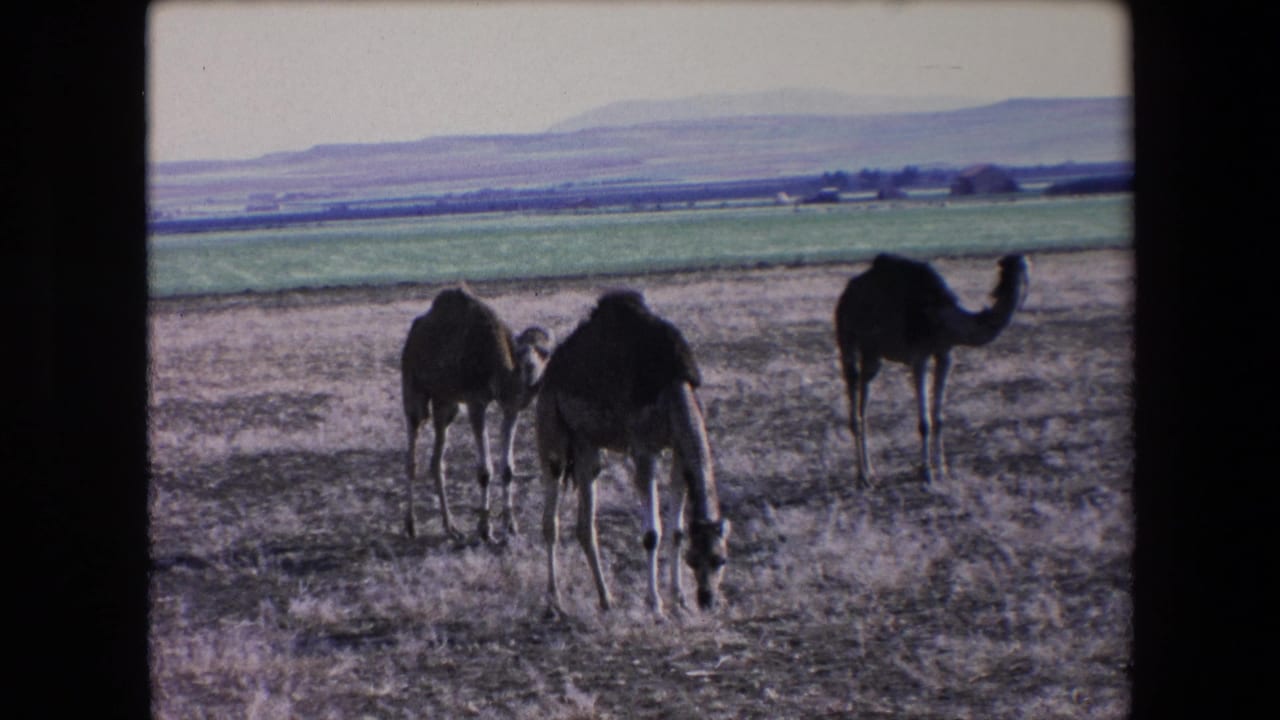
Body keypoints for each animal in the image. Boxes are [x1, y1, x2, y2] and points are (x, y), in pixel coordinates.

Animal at [400, 286, 553, 541]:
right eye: (521, 352)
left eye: (544, 352)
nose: (531, 368)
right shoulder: (476, 402)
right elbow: (484, 470)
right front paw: (484, 529)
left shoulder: (511, 408)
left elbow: (508, 468)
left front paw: (510, 525)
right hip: (414, 388)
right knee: (412, 448)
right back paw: (411, 526)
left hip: (446, 403)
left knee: (436, 460)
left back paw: (451, 527)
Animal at [536, 290, 729, 615]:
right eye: (693, 560)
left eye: (720, 559)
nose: (707, 600)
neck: (671, 384)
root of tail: (549, 371)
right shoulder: (643, 449)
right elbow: (651, 534)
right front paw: (655, 605)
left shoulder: (677, 450)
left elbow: (676, 530)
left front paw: (679, 600)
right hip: (552, 429)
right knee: (551, 518)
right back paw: (554, 600)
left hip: (587, 446)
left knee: (585, 523)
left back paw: (606, 599)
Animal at [834, 253, 1030, 486]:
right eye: (1013, 267)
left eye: (1024, 266)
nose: (1022, 277)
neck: (943, 318)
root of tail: (846, 294)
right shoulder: (919, 356)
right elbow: (925, 422)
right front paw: (926, 473)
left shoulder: (945, 354)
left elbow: (939, 418)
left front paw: (943, 470)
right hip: (848, 339)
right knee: (853, 383)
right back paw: (862, 475)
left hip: (873, 352)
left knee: (865, 392)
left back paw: (870, 471)